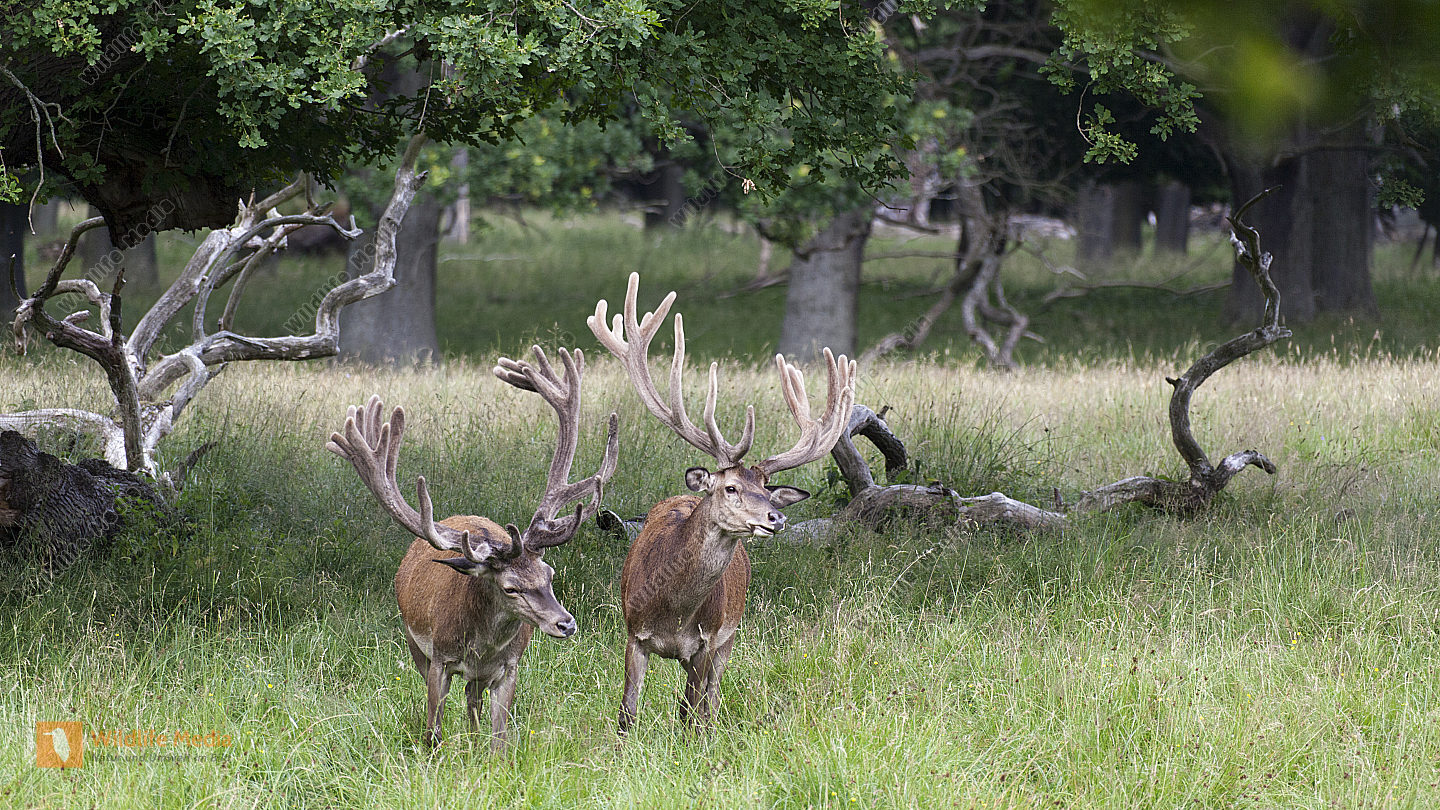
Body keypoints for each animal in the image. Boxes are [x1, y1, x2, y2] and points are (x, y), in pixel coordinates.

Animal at [326, 346, 618, 748]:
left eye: (549, 573)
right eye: (510, 587)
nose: (566, 623)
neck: (483, 647)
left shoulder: (509, 667)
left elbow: (500, 737)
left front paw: (490, 754)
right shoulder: (440, 657)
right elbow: (433, 730)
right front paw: (436, 754)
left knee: (472, 700)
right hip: (414, 641)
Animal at [587, 272, 855, 734]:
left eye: (767, 488)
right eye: (729, 488)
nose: (776, 517)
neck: (674, 612)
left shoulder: (708, 642)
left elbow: (692, 714)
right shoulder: (633, 633)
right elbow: (627, 712)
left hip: (730, 637)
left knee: (708, 702)